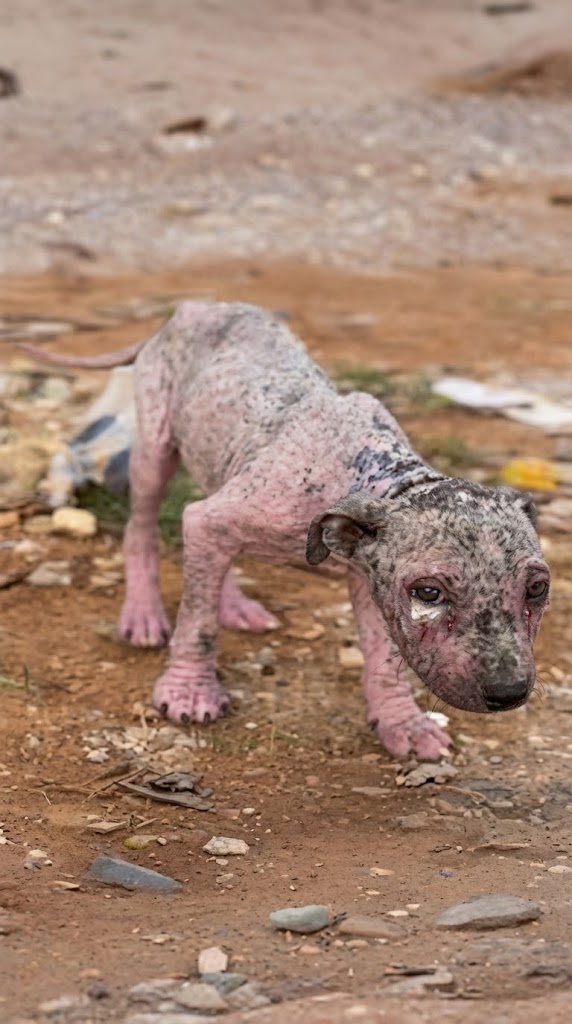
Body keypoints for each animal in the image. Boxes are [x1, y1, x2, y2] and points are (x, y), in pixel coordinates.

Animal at [20, 300, 550, 760]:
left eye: (538, 589)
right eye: (428, 592)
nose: (508, 692)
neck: (375, 472)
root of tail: (194, 306)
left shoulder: (366, 574)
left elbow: (384, 658)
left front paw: (402, 722)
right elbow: (198, 624)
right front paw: (190, 693)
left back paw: (232, 603)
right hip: (154, 442)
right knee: (144, 525)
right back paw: (144, 613)